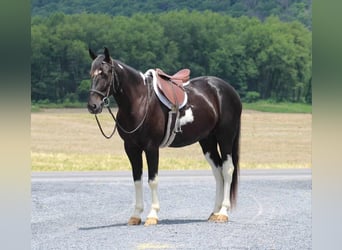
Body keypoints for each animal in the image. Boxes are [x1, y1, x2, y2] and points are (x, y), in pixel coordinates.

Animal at [87, 47, 242, 227]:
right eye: (91, 74)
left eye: (104, 73)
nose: (93, 105)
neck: (140, 101)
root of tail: (228, 90)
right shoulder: (131, 148)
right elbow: (137, 179)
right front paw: (135, 215)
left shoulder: (151, 147)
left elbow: (152, 180)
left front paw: (152, 215)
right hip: (207, 141)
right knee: (218, 172)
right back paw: (214, 212)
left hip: (225, 137)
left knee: (227, 169)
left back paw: (223, 212)